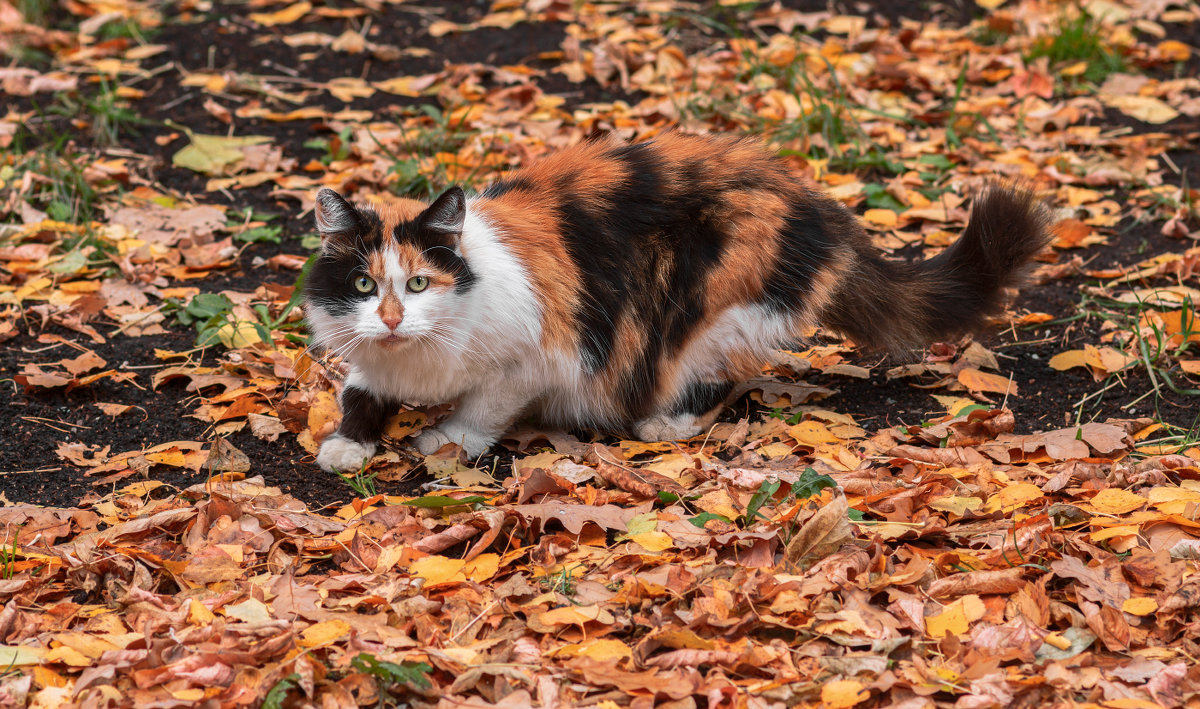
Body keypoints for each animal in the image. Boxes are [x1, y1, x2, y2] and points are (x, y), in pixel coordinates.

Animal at [307, 134, 1051, 472]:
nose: (392, 320)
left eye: (420, 283)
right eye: (364, 286)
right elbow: (358, 391)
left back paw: (661, 423)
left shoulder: (536, 356)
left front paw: (447, 439)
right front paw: (347, 444)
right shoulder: (367, 361)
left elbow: (484, 407)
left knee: (723, 378)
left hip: (708, 311)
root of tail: (814, 205)